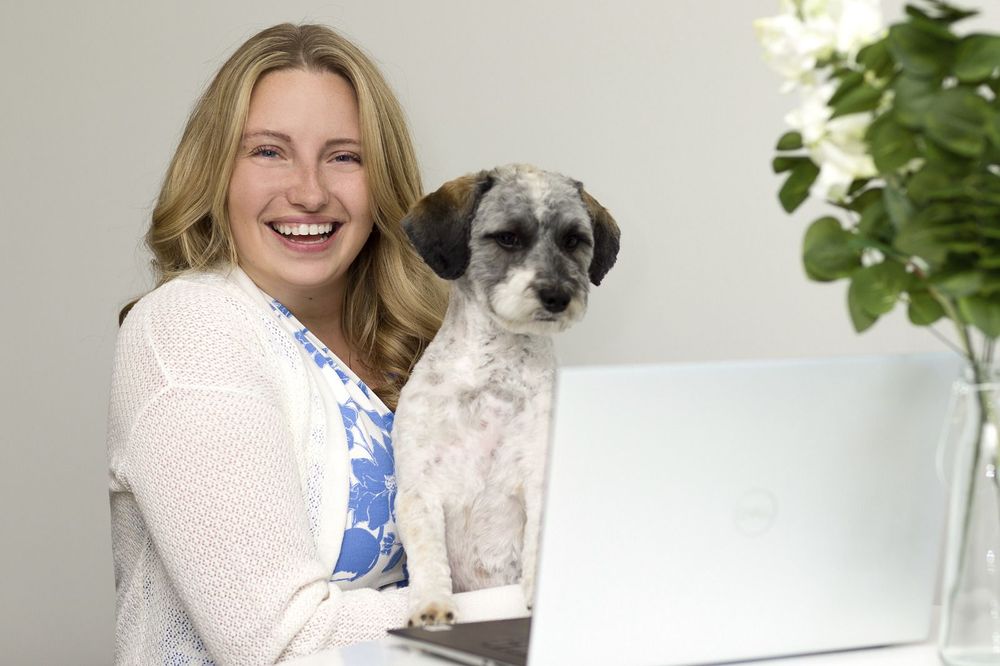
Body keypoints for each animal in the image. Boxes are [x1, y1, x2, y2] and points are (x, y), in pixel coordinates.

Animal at [393, 163, 620, 627]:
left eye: (573, 240)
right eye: (508, 238)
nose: (557, 295)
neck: (492, 372)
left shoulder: (539, 479)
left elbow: (539, 540)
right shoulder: (419, 489)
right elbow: (427, 555)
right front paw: (430, 605)